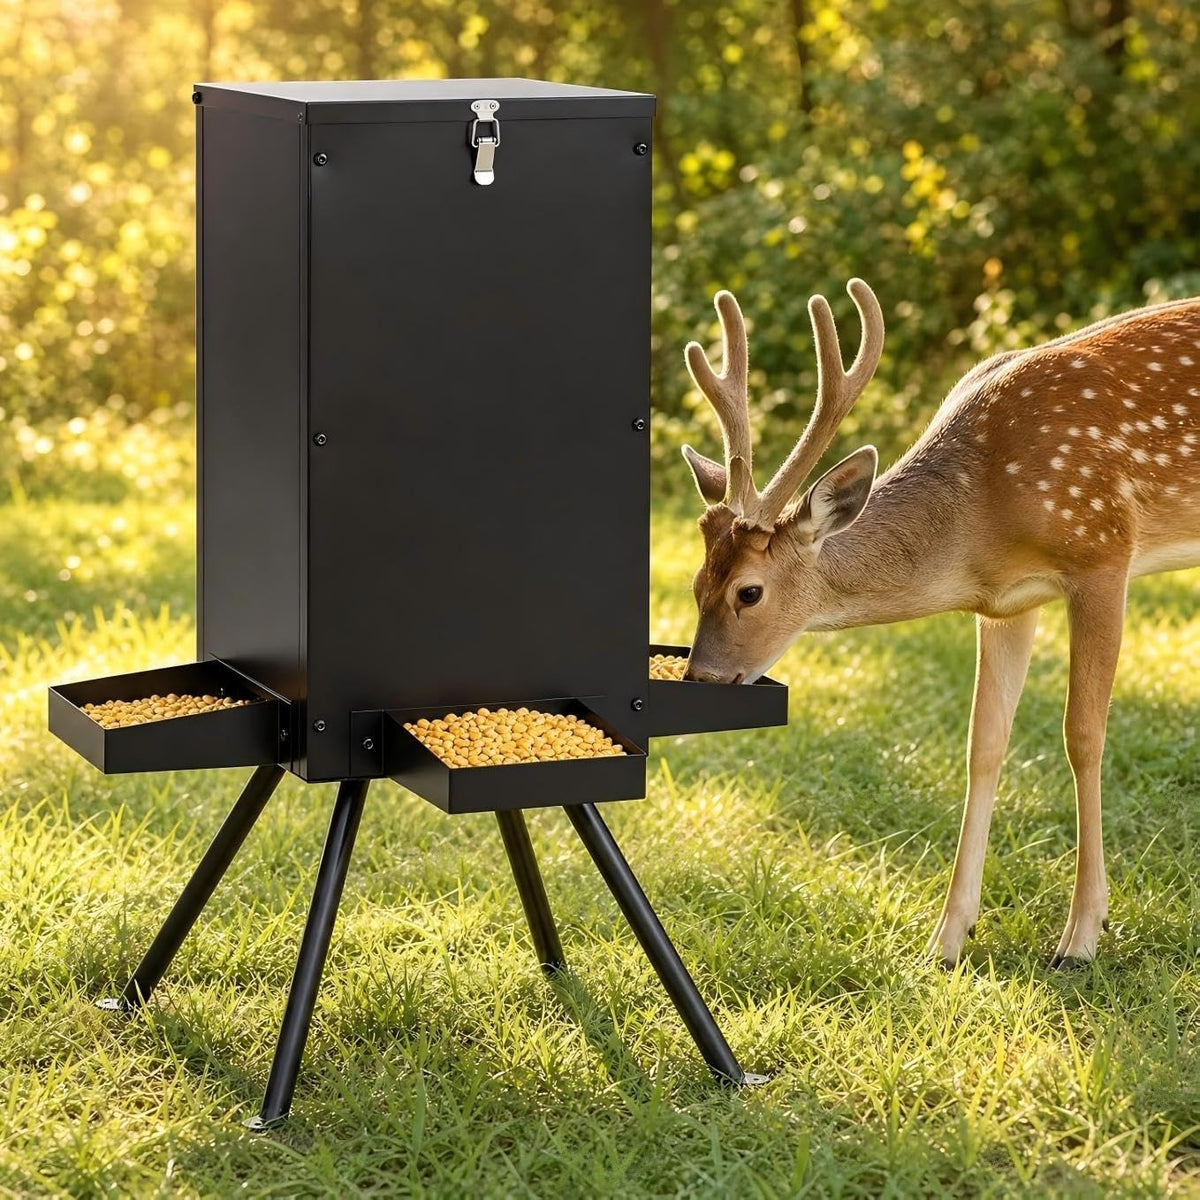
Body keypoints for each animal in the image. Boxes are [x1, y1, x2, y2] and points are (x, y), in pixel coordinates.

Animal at [679, 278, 1200, 966]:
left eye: (750, 591)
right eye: (695, 585)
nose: (701, 678)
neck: (981, 514)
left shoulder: (1101, 552)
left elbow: (1083, 737)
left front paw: (1081, 937)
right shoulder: (1008, 604)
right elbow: (985, 745)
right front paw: (948, 939)